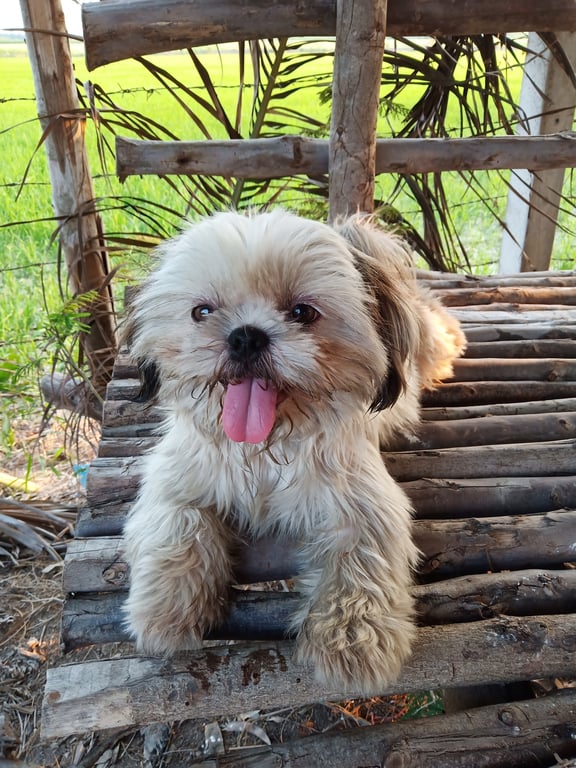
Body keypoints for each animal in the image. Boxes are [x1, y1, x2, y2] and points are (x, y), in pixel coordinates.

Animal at [122, 208, 465, 693]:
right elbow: (179, 524)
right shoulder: (174, 482)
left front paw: (353, 638)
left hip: (428, 340)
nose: (246, 336)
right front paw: (166, 607)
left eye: (303, 312)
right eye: (201, 312)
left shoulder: (364, 505)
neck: (267, 448)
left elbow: (361, 560)